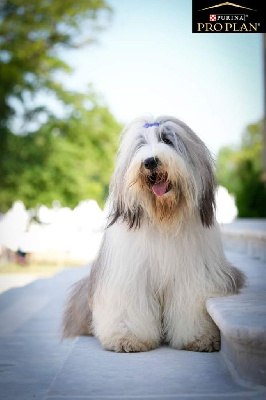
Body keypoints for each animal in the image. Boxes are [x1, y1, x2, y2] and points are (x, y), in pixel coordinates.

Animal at [62, 116, 245, 354]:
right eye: (140, 145)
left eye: (167, 140)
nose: (150, 161)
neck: (163, 219)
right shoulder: (130, 275)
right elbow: (128, 305)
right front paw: (127, 339)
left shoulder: (193, 276)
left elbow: (191, 303)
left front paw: (200, 338)